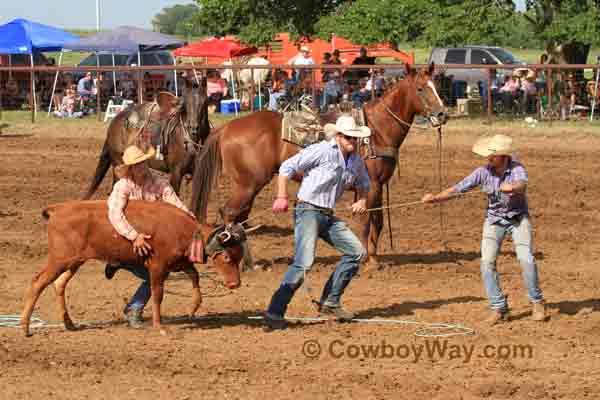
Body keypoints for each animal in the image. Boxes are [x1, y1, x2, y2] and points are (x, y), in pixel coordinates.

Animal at [21, 199, 245, 334]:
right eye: (226, 256)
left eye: (240, 256)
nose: (235, 284)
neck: (183, 231)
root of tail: (57, 209)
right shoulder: (157, 266)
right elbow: (157, 294)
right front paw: (159, 326)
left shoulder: (179, 263)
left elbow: (195, 276)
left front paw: (193, 307)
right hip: (59, 259)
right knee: (37, 282)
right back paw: (25, 327)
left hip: (74, 261)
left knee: (59, 284)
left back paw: (69, 323)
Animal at [190, 62, 448, 268]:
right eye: (420, 88)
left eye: (436, 85)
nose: (442, 114)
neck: (376, 130)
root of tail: (227, 128)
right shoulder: (372, 185)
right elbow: (369, 222)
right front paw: (371, 260)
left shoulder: (376, 185)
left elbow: (378, 221)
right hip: (248, 183)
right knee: (230, 213)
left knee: (239, 216)